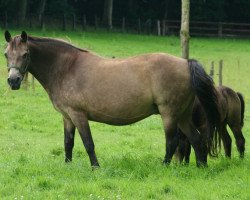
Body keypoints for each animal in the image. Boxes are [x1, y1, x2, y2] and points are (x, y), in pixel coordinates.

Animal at [4, 30, 221, 167]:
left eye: (25, 54)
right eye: (6, 54)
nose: (13, 81)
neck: (66, 67)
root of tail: (185, 63)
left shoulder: (78, 115)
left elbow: (88, 143)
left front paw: (96, 168)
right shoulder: (67, 117)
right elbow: (68, 143)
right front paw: (68, 166)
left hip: (169, 114)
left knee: (172, 142)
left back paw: (165, 166)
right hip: (182, 115)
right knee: (197, 139)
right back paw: (201, 167)